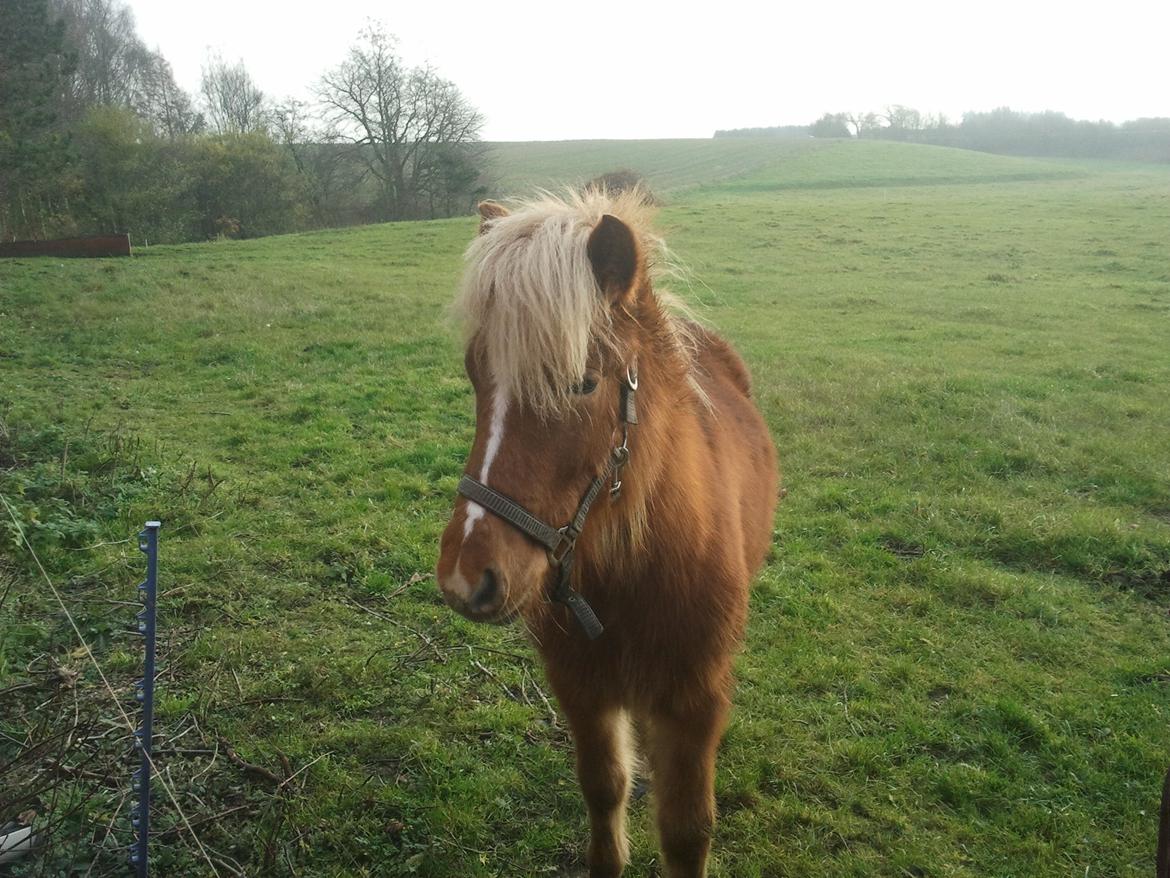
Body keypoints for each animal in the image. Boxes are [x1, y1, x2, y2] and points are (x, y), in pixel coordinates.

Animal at [435, 187, 781, 878]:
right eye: (474, 373)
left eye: (582, 383)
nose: (465, 578)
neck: (636, 572)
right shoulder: (582, 686)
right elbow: (605, 787)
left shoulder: (694, 699)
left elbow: (686, 831)